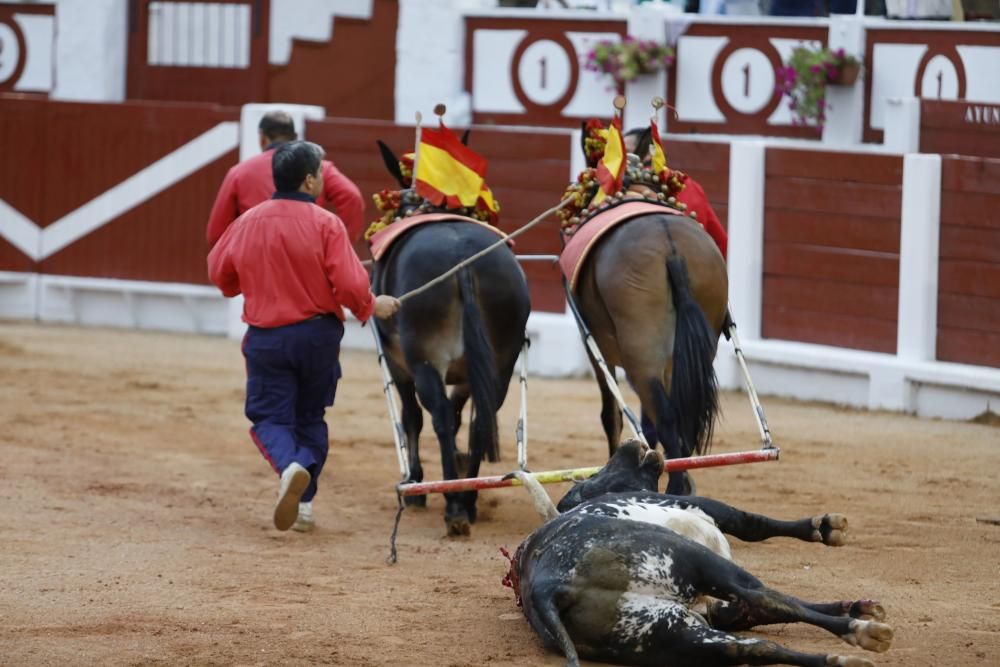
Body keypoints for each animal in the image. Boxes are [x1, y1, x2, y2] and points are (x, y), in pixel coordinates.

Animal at [504, 440, 896, 664]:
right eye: (597, 471)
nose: (629, 443)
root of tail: (548, 586)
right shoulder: (702, 509)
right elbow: (753, 525)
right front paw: (825, 527)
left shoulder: (722, 611)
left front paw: (857, 605)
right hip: (697, 565)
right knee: (765, 598)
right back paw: (863, 633)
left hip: (671, 633)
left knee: (752, 648)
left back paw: (842, 657)